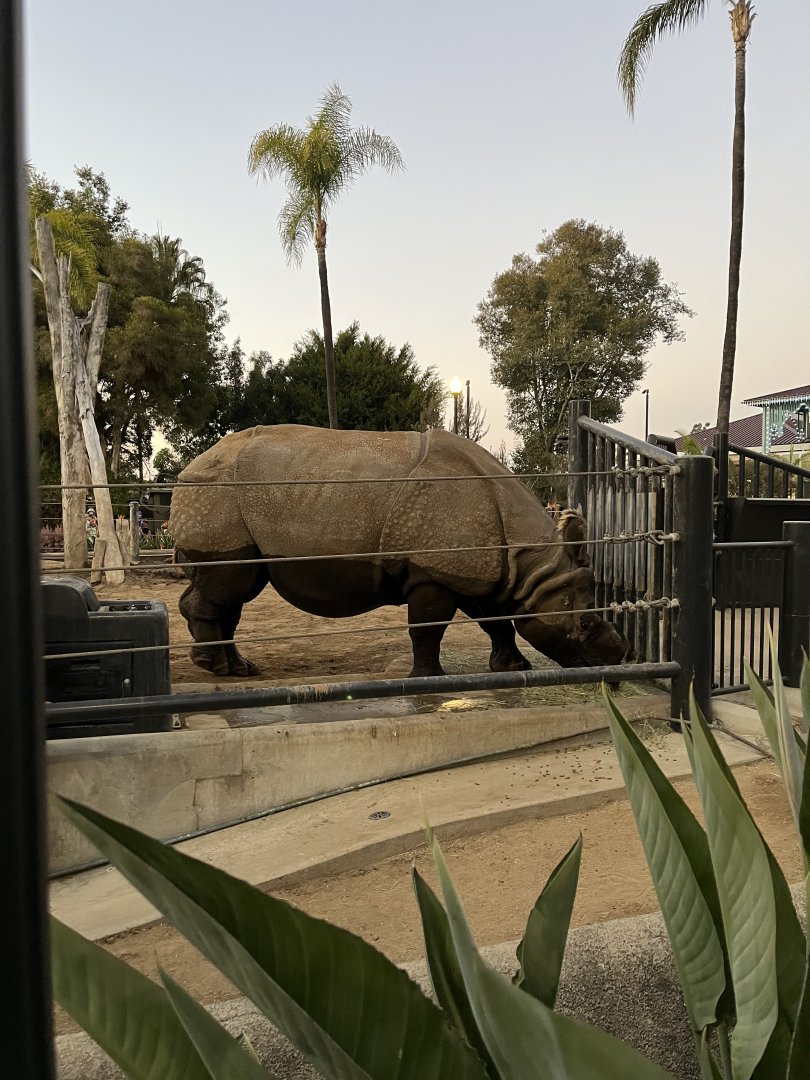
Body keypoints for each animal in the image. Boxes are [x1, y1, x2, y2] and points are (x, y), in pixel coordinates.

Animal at [170, 426, 628, 679]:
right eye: (585, 623)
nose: (618, 656)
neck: (531, 561)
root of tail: (189, 468)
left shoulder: (481, 571)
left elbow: (497, 622)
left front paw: (514, 669)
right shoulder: (432, 573)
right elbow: (428, 628)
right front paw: (430, 677)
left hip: (223, 495)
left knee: (232, 592)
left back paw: (239, 669)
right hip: (218, 495)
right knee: (231, 584)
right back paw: (215, 668)